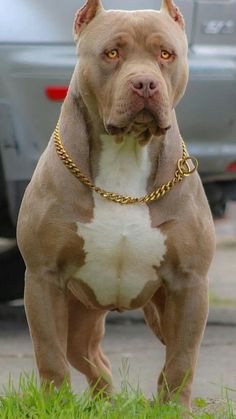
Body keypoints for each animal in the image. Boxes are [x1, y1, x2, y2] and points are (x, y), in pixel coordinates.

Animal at [16, 0, 216, 406]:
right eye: (112, 53)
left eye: (165, 54)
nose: (145, 83)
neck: (126, 155)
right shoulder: (43, 278)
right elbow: (49, 354)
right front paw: (55, 404)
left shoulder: (189, 283)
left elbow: (182, 358)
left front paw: (174, 408)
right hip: (79, 315)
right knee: (93, 359)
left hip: (158, 311)